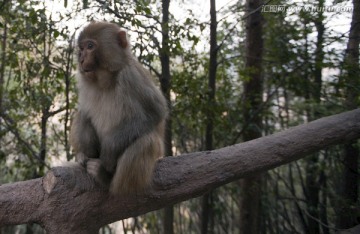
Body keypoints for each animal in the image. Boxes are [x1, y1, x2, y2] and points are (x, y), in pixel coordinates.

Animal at [69, 21, 168, 196]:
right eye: (81, 48)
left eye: (90, 46)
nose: (81, 58)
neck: (105, 78)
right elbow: (84, 111)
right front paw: (82, 154)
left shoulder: (132, 76)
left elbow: (155, 112)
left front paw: (109, 152)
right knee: (83, 115)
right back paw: (85, 156)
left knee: (147, 142)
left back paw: (106, 179)